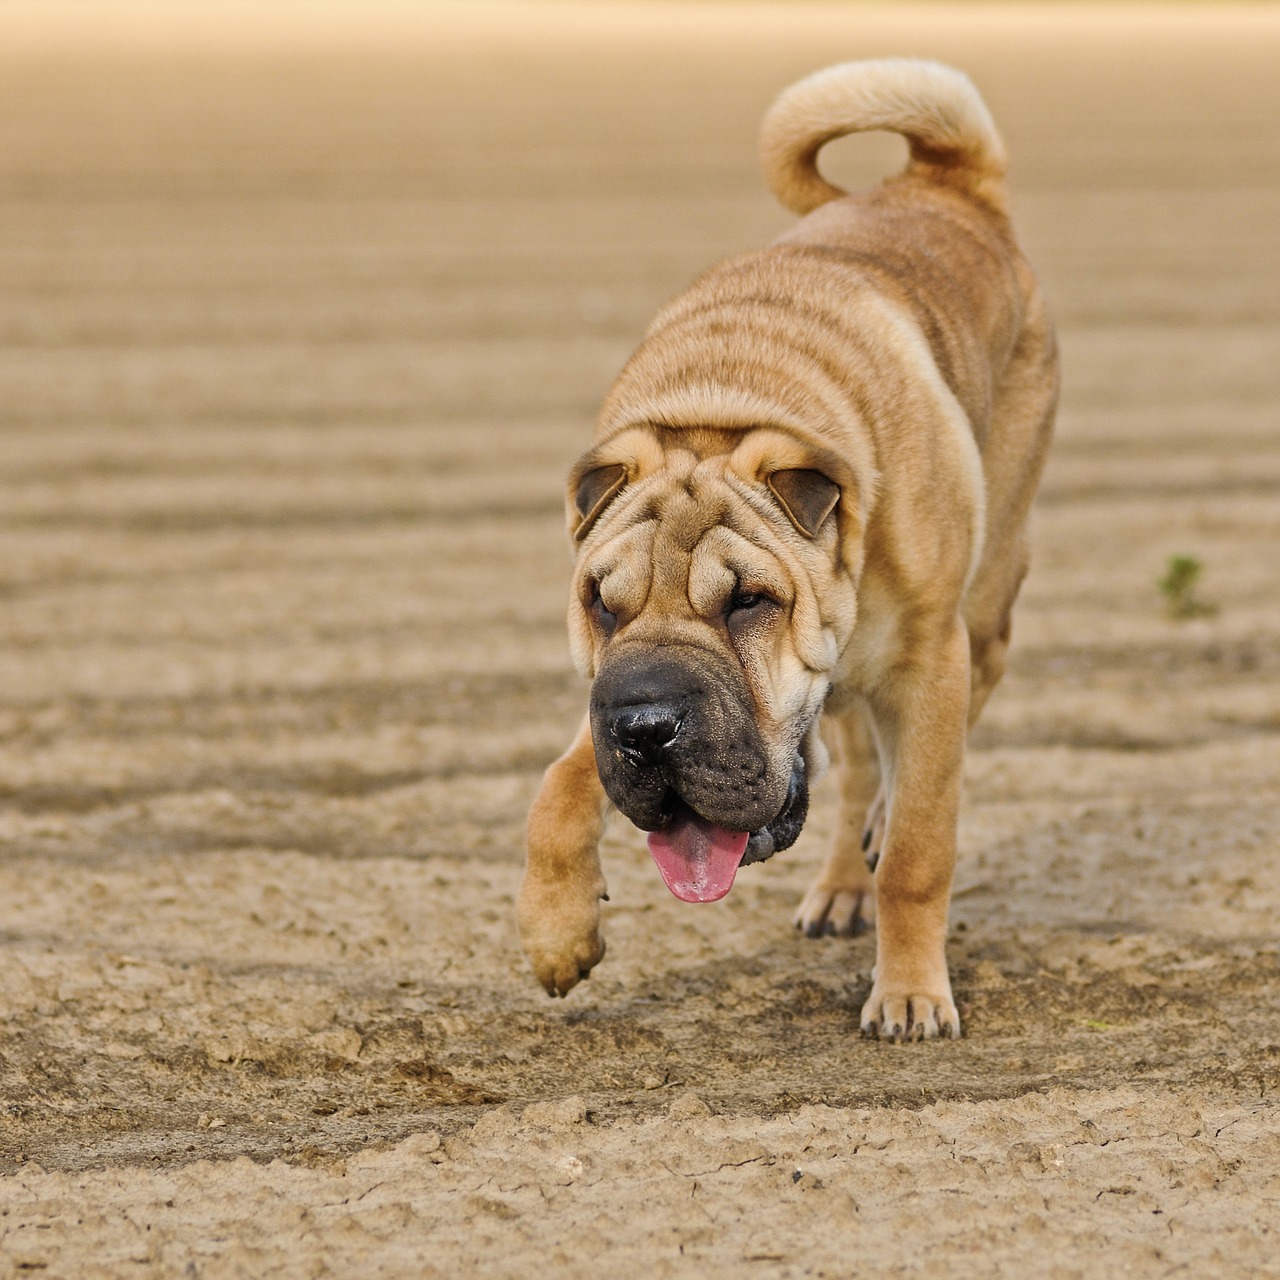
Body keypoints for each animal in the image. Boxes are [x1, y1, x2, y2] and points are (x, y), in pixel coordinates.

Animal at [514, 57, 1054, 1039]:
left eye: (749, 602)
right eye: (601, 604)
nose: (646, 725)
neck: (723, 409)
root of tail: (942, 180)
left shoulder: (931, 659)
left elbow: (920, 849)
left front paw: (910, 994)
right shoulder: (608, 692)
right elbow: (559, 786)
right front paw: (555, 935)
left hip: (986, 607)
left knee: (918, 759)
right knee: (853, 772)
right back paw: (842, 886)